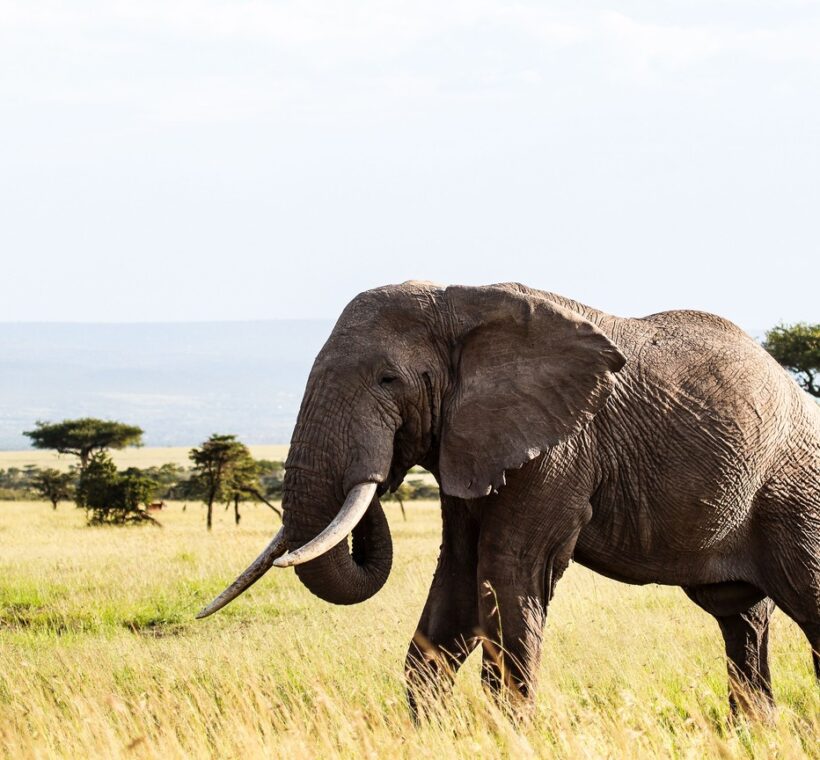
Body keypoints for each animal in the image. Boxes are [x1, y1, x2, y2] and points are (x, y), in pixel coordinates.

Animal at [198, 281, 820, 717]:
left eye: (387, 381)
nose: (380, 471)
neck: (460, 301)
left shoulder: (559, 445)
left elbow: (508, 569)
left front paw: (506, 731)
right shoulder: (471, 441)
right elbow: (457, 575)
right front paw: (430, 731)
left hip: (795, 491)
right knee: (741, 618)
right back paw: (754, 730)